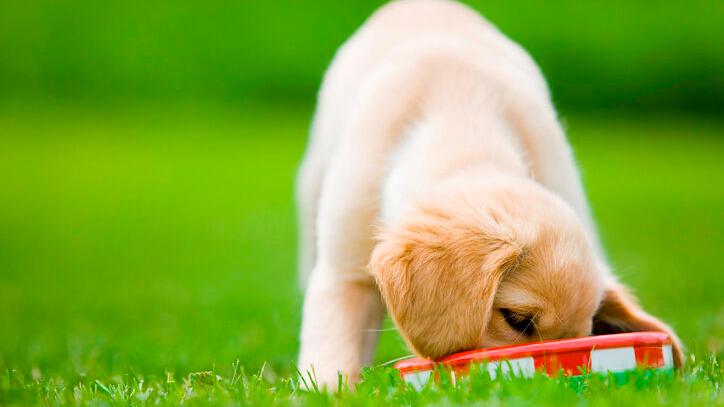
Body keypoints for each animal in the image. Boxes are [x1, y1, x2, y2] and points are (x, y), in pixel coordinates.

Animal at [296, 0, 684, 388]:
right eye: (518, 319)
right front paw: (330, 389)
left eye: (579, 338)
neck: (461, 124)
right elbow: (334, 348)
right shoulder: (344, 273)